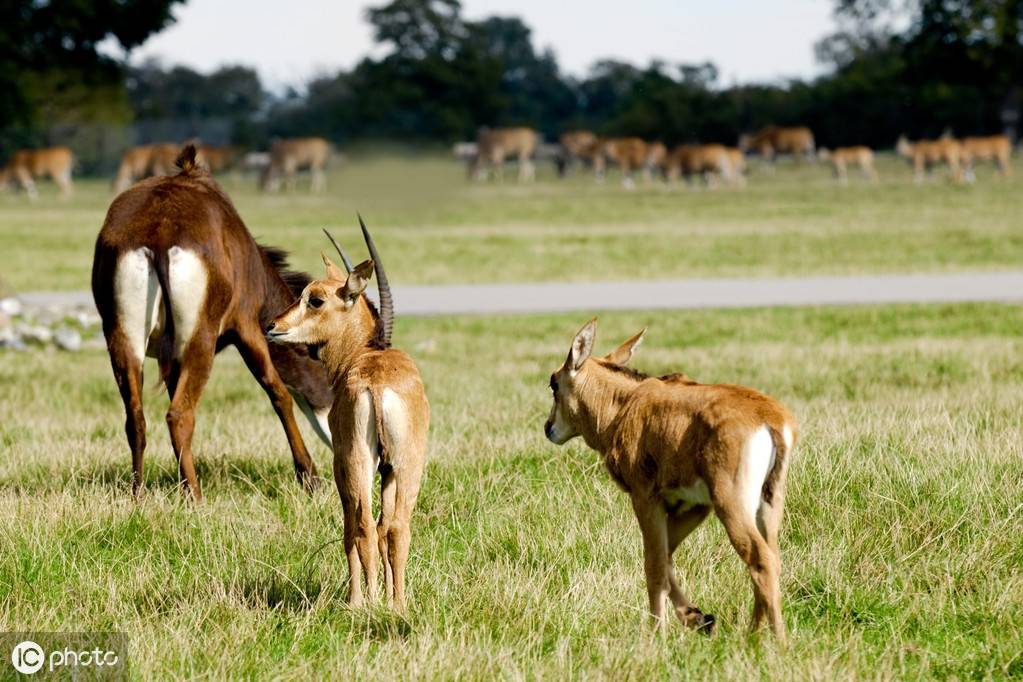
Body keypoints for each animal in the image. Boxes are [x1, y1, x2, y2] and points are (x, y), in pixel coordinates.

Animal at [91, 144, 331, 498]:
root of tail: (159, 235)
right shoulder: (248, 328)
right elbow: (279, 394)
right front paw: (310, 478)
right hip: (199, 338)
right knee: (179, 415)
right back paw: (195, 497)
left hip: (122, 336)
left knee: (136, 418)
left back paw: (139, 494)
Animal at [263, 221, 427, 609]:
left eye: (315, 298)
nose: (272, 325)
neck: (362, 355)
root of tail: (378, 384)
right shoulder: (388, 470)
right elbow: (385, 527)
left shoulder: (342, 463)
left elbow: (351, 528)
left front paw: (357, 598)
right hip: (406, 465)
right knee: (397, 527)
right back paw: (397, 604)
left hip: (356, 462)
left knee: (362, 526)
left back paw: (366, 602)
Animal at [544, 321, 797, 642]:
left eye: (554, 383)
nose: (549, 428)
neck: (625, 403)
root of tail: (769, 419)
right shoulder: (694, 506)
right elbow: (666, 558)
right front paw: (698, 618)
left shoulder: (645, 498)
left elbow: (653, 564)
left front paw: (656, 636)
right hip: (768, 505)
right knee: (771, 558)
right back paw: (750, 634)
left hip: (731, 506)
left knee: (760, 560)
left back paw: (776, 643)